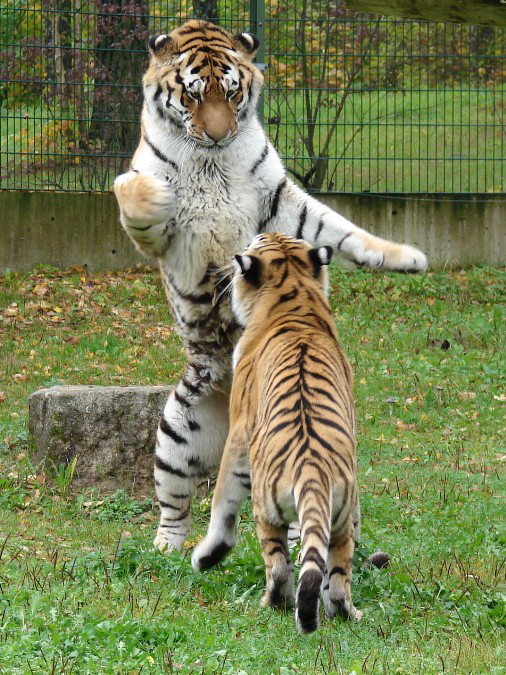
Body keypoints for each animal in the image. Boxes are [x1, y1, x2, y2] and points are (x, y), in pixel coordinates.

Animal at [113, 19, 427, 554]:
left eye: (232, 92)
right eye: (192, 95)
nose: (218, 135)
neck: (211, 160)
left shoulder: (281, 200)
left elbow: (341, 228)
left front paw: (404, 257)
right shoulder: (159, 233)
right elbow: (129, 189)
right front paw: (152, 194)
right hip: (177, 429)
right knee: (175, 501)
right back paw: (166, 546)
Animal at [191, 233, 362, 634]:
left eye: (257, 240)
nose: (258, 233)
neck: (294, 291)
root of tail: (314, 473)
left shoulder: (239, 430)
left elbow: (222, 504)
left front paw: (206, 556)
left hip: (266, 511)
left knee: (279, 566)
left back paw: (272, 603)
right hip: (341, 520)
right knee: (335, 577)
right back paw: (347, 612)